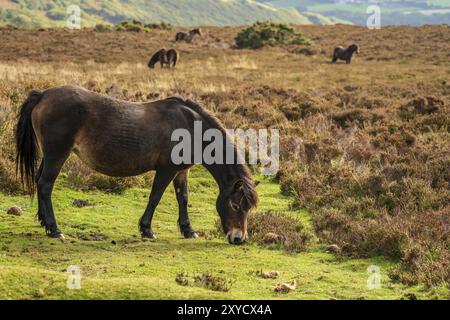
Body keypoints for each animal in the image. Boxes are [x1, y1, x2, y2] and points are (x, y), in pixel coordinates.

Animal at [15, 86, 258, 244]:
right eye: (235, 205)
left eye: (248, 208)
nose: (239, 239)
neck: (190, 126)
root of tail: (43, 95)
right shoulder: (167, 170)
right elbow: (155, 197)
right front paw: (147, 230)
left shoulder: (182, 171)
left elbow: (183, 198)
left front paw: (188, 231)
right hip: (57, 154)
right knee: (46, 185)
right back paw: (55, 229)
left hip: (49, 155)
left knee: (39, 182)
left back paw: (44, 223)